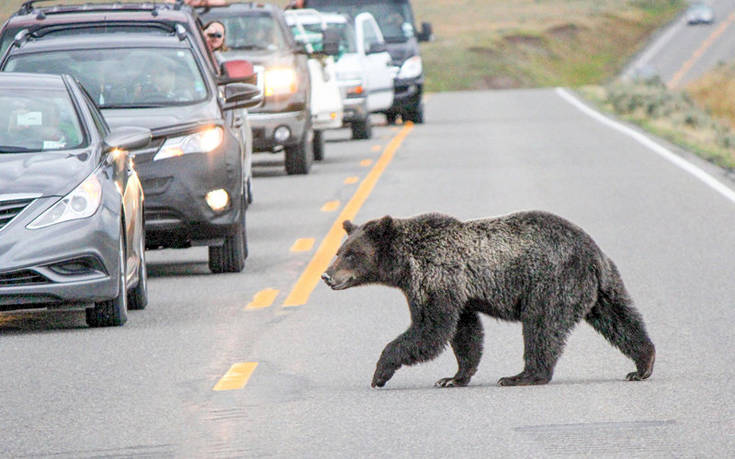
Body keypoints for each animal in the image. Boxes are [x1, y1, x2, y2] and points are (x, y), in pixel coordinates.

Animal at [322, 212, 656, 388]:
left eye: (351, 254)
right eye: (339, 251)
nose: (326, 275)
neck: (404, 265)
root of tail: (593, 252)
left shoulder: (436, 277)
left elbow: (430, 330)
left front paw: (380, 373)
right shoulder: (460, 295)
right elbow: (465, 333)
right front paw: (454, 377)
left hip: (552, 282)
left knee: (541, 327)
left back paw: (522, 375)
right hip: (600, 289)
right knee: (620, 319)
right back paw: (642, 364)